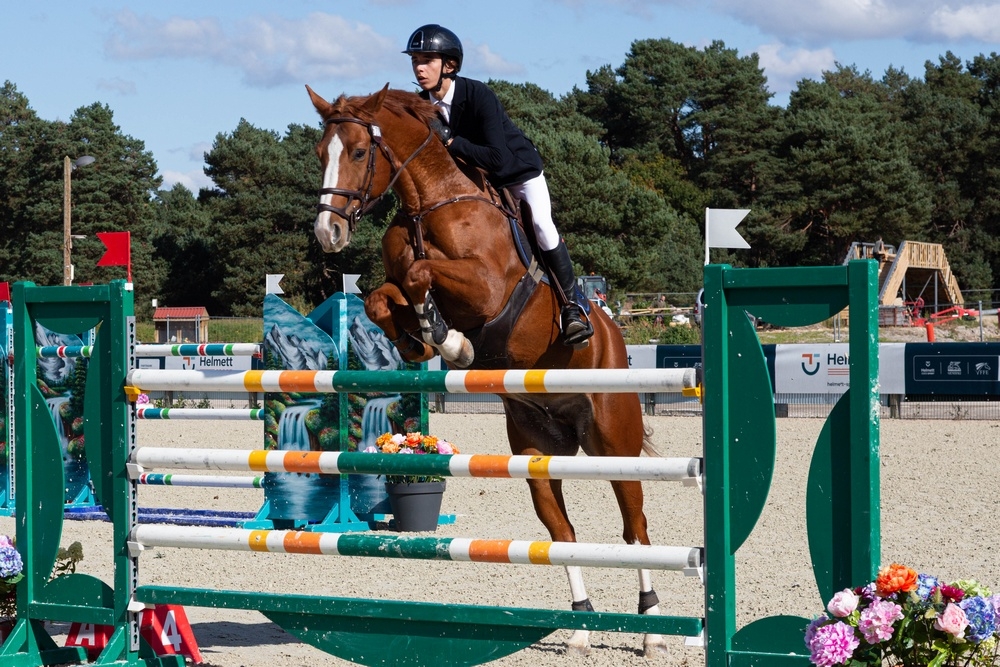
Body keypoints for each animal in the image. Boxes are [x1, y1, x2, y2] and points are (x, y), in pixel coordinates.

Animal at [306, 84, 669, 657]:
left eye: (360, 153)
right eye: (322, 153)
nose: (329, 231)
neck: (427, 203)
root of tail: (614, 334)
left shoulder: (487, 288)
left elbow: (420, 272)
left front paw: (450, 340)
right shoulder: (398, 287)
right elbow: (385, 298)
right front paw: (427, 338)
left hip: (614, 441)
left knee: (636, 528)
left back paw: (653, 627)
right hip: (537, 450)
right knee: (563, 534)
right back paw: (582, 627)